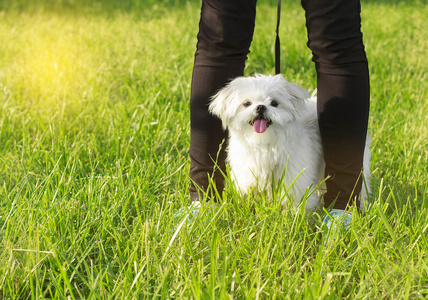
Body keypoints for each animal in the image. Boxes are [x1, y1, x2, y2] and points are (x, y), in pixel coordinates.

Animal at [209, 74, 370, 211]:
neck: (265, 143)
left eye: (274, 103)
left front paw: (296, 218)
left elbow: (296, 200)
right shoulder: (249, 175)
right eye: (246, 103)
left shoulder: (294, 177)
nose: (260, 107)